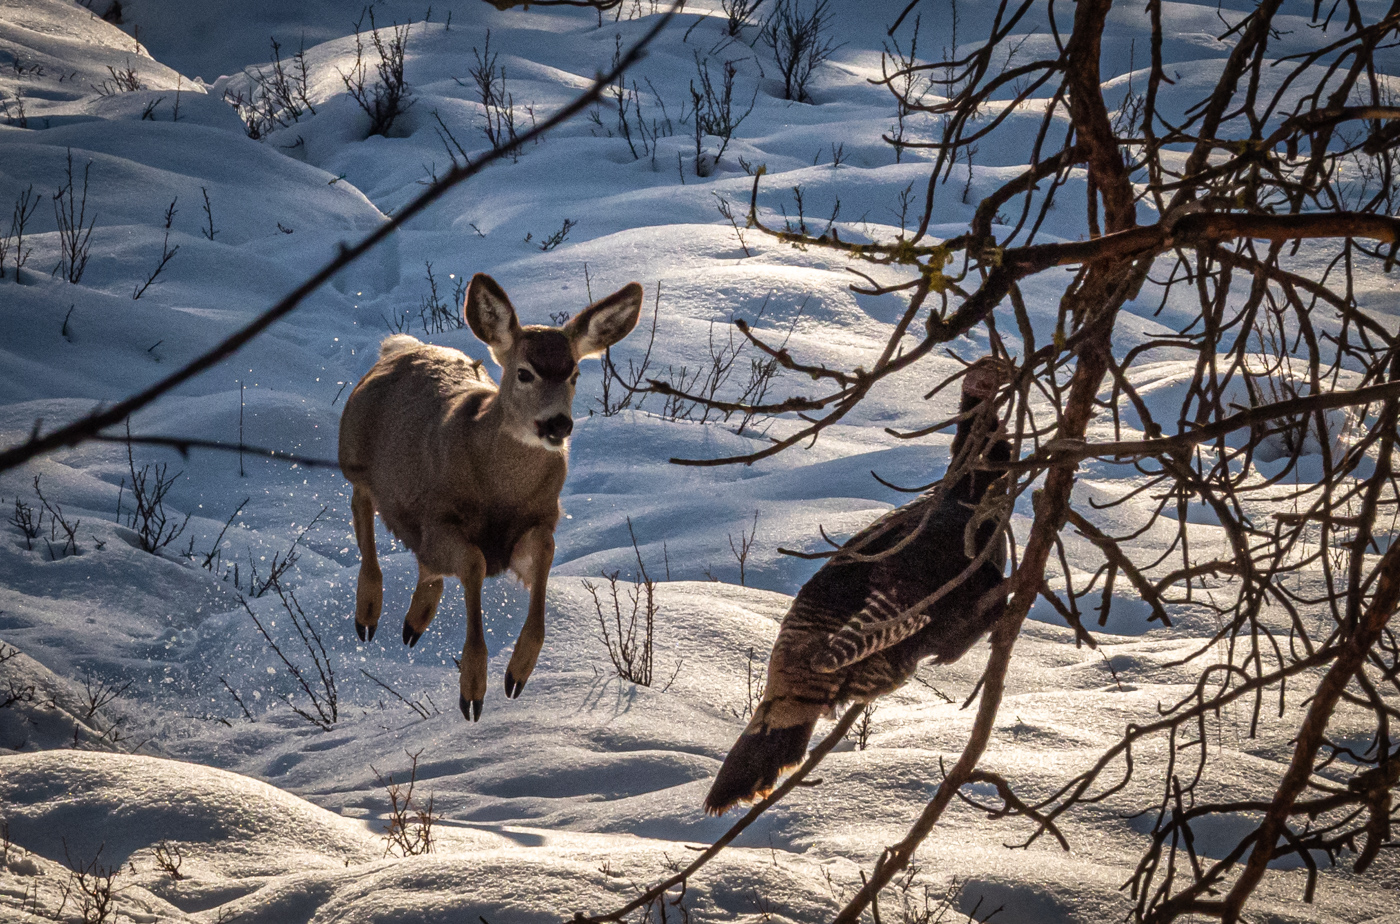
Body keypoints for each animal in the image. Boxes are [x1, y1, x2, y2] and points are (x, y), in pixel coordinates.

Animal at [338, 274, 644, 722]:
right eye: (524, 373)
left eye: (574, 373)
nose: (558, 424)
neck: (500, 492)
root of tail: (400, 348)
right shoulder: (438, 518)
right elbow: (473, 562)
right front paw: (472, 689)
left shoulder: (540, 519)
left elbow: (545, 555)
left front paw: (517, 673)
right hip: (351, 452)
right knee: (362, 507)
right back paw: (368, 614)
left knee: (423, 565)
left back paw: (414, 623)